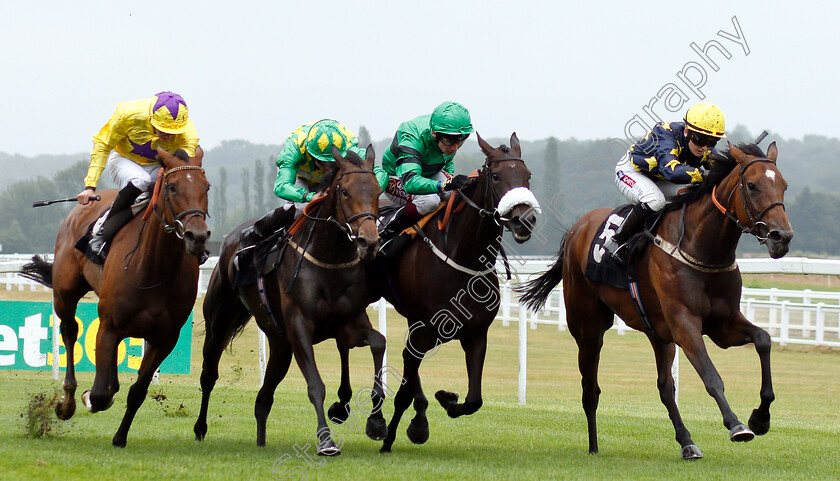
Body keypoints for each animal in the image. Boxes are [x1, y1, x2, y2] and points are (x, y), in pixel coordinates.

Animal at [20, 147, 210, 446]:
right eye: (172, 186)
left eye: (206, 187)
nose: (197, 236)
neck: (154, 266)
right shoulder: (108, 326)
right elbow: (98, 394)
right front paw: (88, 397)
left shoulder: (165, 337)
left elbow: (138, 391)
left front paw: (120, 436)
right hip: (65, 294)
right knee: (69, 331)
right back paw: (67, 401)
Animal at [192, 145, 386, 454]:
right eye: (345, 192)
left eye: (378, 191)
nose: (368, 242)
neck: (329, 261)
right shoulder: (299, 328)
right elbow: (316, 385)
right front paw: (326, 439)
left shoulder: (349, 323)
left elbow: (379, 342)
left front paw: (376, 422)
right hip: (220, 321)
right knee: (209, 374)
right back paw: (200, 428)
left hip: (279, 344)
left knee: (263, 400)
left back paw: (261, 441)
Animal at [370, 133, 540, 452]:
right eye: (496, 176)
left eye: (528, 175)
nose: (524, 220)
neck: (464, 259)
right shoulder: (423, 329)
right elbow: (403, 391)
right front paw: (387, 439)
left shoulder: (476, 334)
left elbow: (474, 400)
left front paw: (446, 400)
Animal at [520, 142, 796, 458]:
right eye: (751, 185)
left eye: (784, 185)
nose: (782, 237)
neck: (702, 248)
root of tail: (576, 230)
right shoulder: (685, 324)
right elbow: (711, 376)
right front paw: (736, 424)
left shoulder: (723, 325)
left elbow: (763, 340)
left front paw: (760, 417)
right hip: (588, 328)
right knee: (590, 389)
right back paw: (593, 447)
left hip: (658, 332)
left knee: (664, 386)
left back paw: (687, 442)